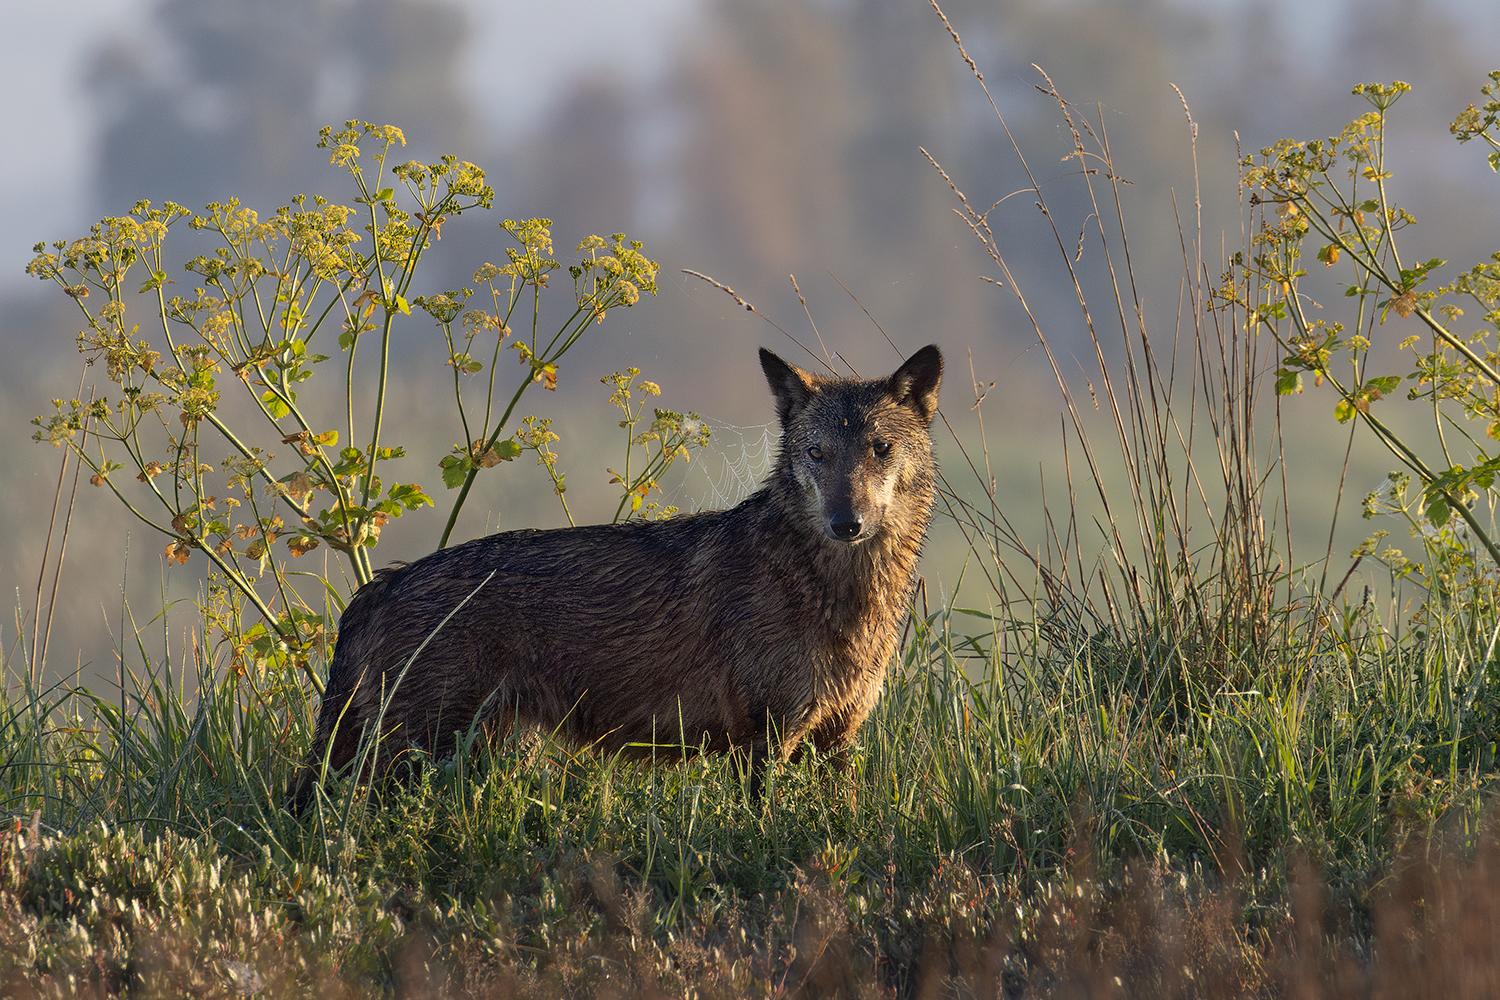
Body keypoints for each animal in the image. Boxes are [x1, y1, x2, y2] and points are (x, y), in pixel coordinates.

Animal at [287, 344, 942, 808]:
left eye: (880, 448)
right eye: (817, 454)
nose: (846, 522)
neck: (839, 593)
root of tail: (379, 586)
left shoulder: (838, 740)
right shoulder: (763, 743)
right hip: (409, 755)